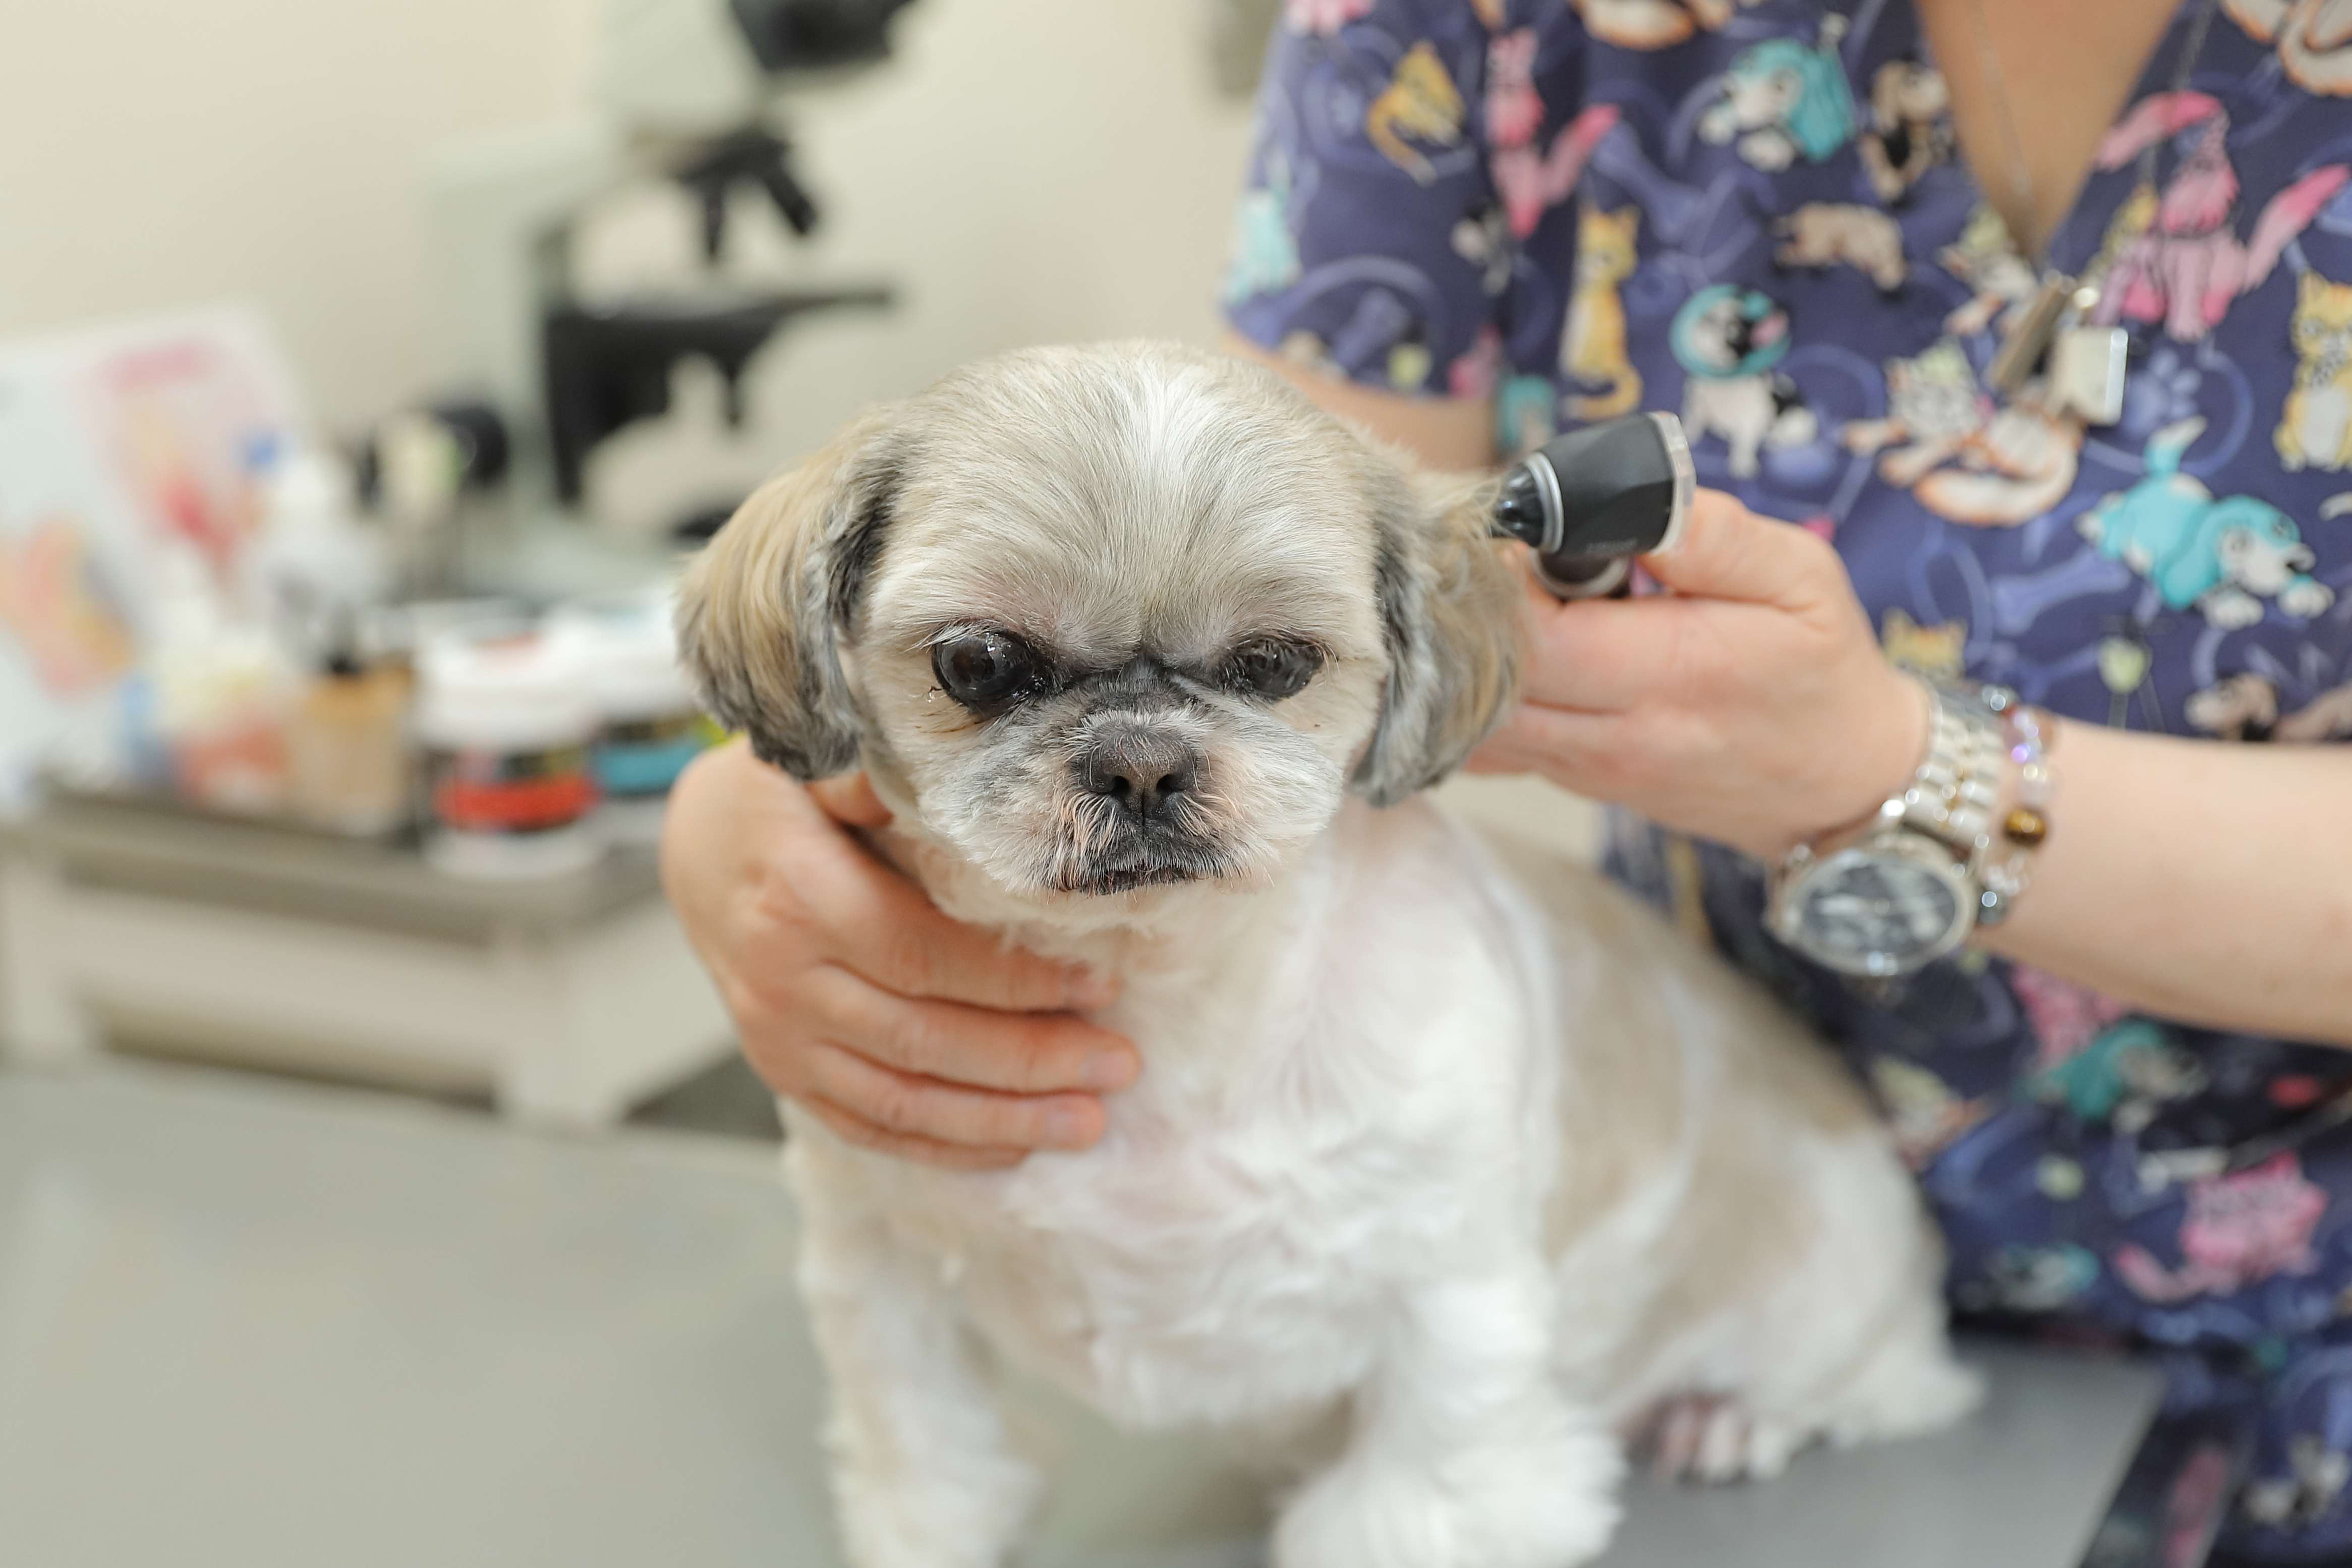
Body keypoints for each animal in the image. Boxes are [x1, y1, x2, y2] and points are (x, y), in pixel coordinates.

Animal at [672, 343, 1975, 1568]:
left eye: (1273, 663)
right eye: (977, 664)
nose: (1141, 762)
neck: (1164, 998)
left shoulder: (1451, 1290)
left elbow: (1423, 1494)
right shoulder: (874, 1259)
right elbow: (924, 1450)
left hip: (1823, 1300)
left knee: (1867, 1384)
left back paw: (1733, 1417)